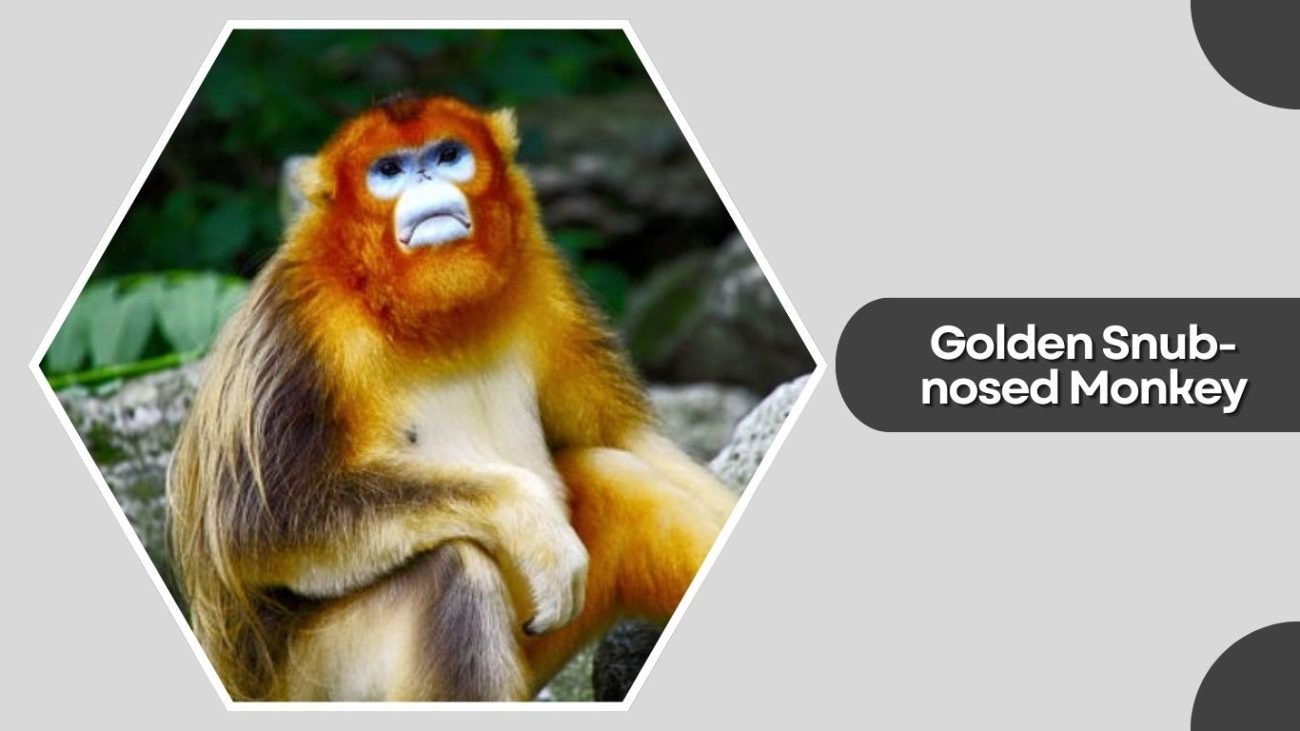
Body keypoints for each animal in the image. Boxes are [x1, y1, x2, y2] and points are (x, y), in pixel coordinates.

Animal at [166, 93, 739, 702]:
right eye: (389, 169)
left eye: (447, 155)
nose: (424, 177)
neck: (427, 316)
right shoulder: (299, 321)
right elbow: (259, 524)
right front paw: (527, 517)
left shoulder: (545, 284)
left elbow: (631, 441)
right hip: (309, 680)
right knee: (452, 570)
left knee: (620, 476)